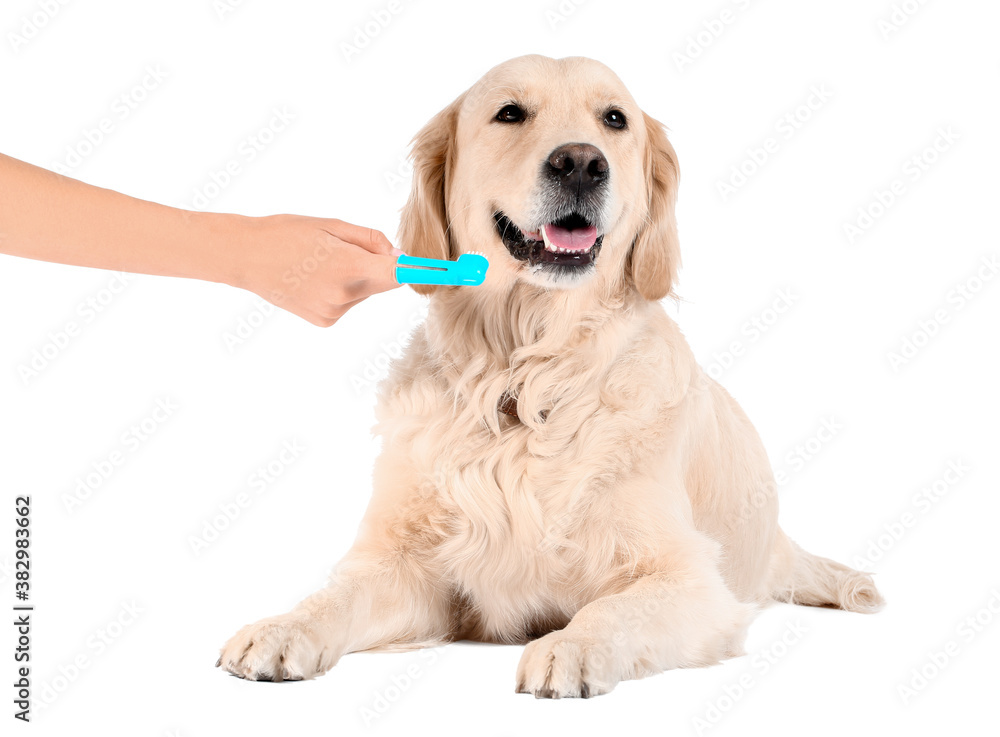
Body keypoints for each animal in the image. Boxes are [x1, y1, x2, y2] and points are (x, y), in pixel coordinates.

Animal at [219, 54, 884, 692]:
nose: (581, 164)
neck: (529, 377)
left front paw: (573, 646)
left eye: (615, 119)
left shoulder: (691, 580)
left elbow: (612, 609)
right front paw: (283, 627)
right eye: (510, 112)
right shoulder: (409, 569)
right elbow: (338, 594)